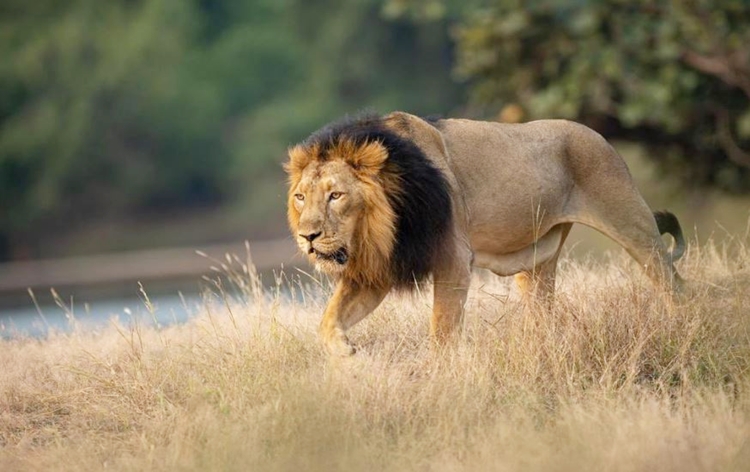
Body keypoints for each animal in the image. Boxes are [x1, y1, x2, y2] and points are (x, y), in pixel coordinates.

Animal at [285, 111, 685, 356]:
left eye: (336, 195)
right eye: (301, 197)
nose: (308, 236)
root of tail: (597, 134)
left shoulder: (453, 261)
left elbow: (442, 329)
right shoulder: (377, 272)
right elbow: (328, 320)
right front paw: (345, 354)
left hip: (632, 223)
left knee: (674, 284)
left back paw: (682, 327)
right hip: (537, 263)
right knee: (544, 314)